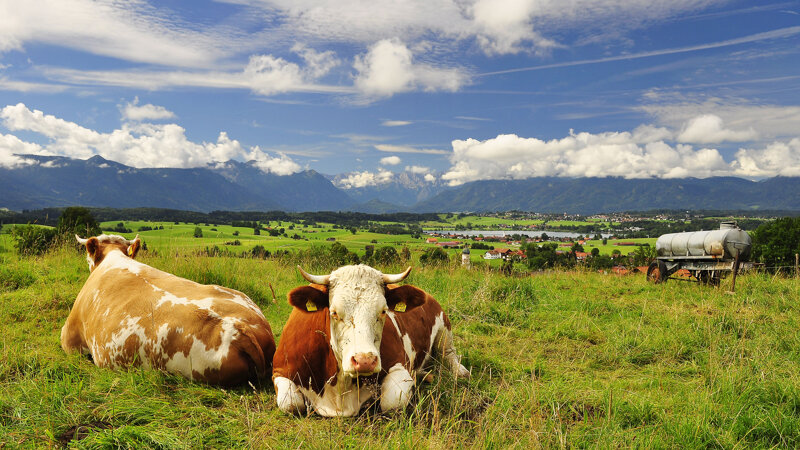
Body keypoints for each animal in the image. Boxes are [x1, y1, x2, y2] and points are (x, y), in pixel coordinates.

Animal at [273, 264, 469, 417]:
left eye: (383, 311)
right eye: (334, 312)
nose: (364, 360)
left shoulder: (400, 365)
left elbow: (392, 402)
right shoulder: (279, 371)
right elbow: (290, 403)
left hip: (444, 327)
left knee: (449, 353)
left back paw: (460, 371)